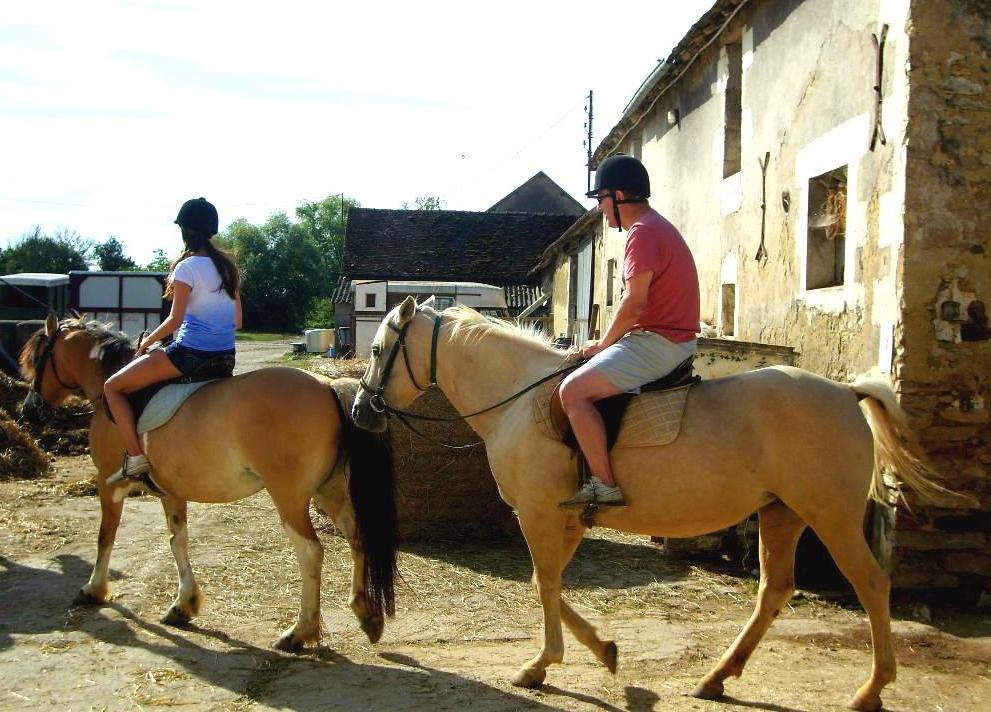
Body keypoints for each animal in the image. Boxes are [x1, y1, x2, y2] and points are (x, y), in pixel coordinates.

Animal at [20, 313, 399, 651]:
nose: (29, 410)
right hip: (329, 492)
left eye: (38, 358)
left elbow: (105, 537)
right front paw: (183, 604)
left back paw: (298, 633)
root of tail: (327, 385)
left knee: (310, 552)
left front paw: (93, 589)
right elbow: (178, 541)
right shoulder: (171, 493)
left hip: (290, 498)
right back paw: (367, 615)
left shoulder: (108, 486)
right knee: (357, 537)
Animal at [351, 297, 947, 712]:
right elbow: (551, 585)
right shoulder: (566, 521)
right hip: (783, 514)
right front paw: (602, 650)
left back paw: (871, 689)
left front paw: (541, 665)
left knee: (871, 585)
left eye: (379, 351)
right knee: (774, 590)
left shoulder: (538, 515)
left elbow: (544, 586)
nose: (359, 411)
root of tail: (846, 392)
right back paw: (716, 678)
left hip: (830, 517)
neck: (522, 398)